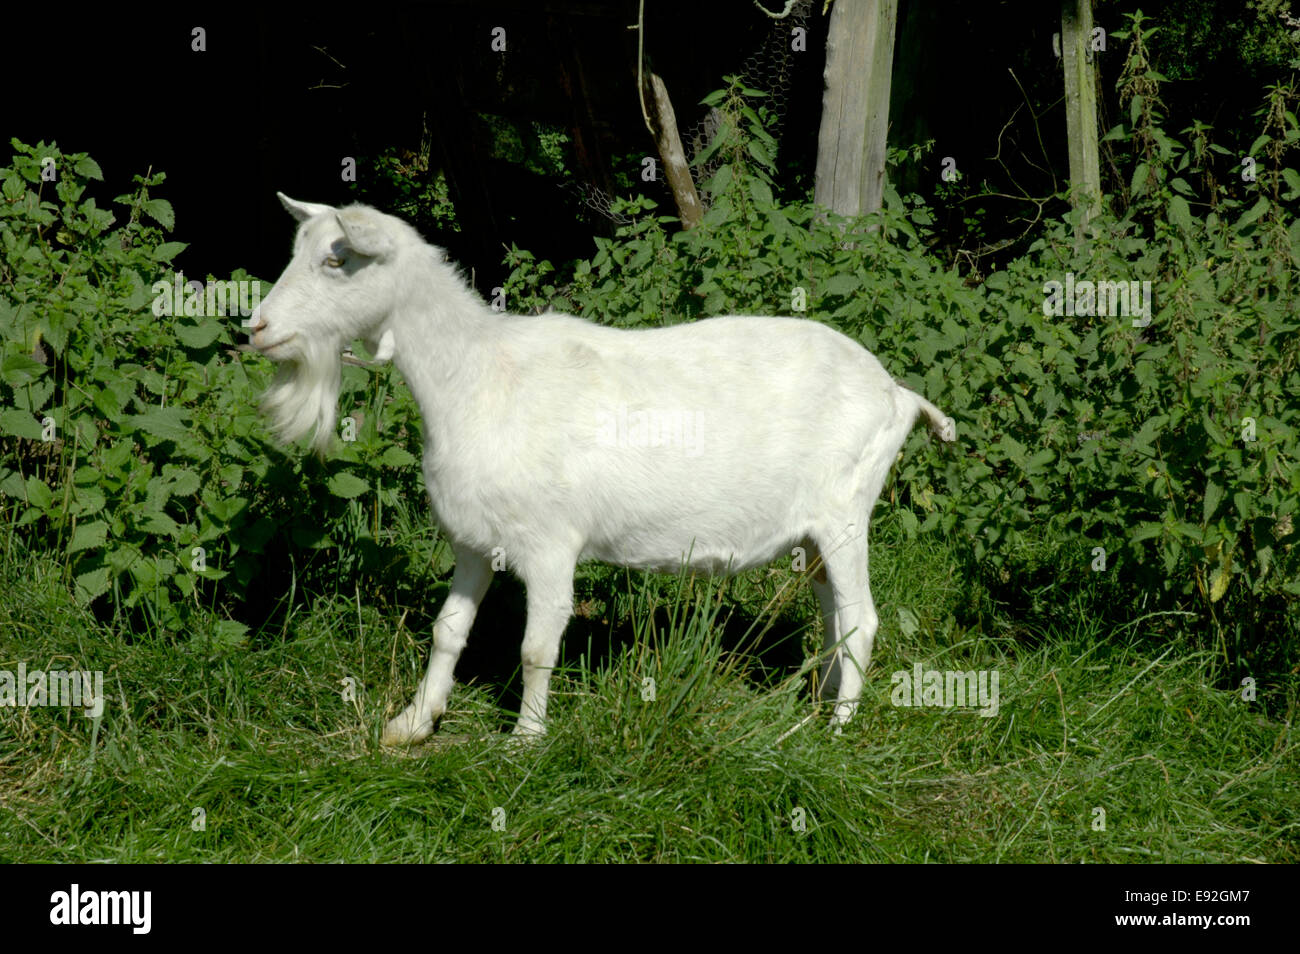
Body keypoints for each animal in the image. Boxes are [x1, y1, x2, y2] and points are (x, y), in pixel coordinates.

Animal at [248, 196, 956, 748]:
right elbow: (447, 633)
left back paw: (837, 731)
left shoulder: (550, 544)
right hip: (814, 536)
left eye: (336, 258)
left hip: (845, 513)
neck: (477, 376)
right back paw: (815, 709)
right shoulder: (474, 540)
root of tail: (898, 395)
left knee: (862, 620)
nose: (256, 326)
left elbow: (536, 650)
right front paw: (412, 723)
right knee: (834, 616)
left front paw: (524, 743)